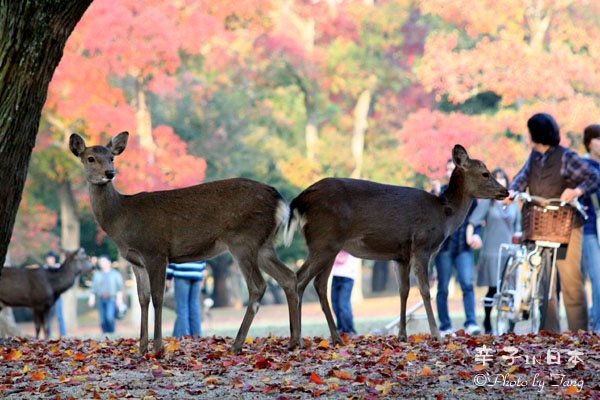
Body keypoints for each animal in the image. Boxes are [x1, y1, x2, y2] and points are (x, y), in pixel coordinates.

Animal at [69, 131, 300, 354]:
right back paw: (294, 341)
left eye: (112, 157)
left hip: (244, 240)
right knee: (289, 277)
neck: (121, 218)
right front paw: (141, 348)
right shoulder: (135, 261)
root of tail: (279, 199)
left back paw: (237, 345)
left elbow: (158, 297)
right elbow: (143, 298)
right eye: (90, 158)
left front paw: (158, 347)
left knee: (258, 286)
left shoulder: (156, 250)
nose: (110, 173)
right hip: (264, 244)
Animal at [284, 145, 508, 346]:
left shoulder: (400, 256)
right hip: (323, 241)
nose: (505, 191)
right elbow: (426, 291)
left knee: (319, 284)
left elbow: (404, 291)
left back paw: (335, 338)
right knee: (298, 278)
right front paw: (437, 335)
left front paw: (402, 336)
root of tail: (299, 200)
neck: (444, 216)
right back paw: (297, 339)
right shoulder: (421, 246)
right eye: (485, 173)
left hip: (330, 247)